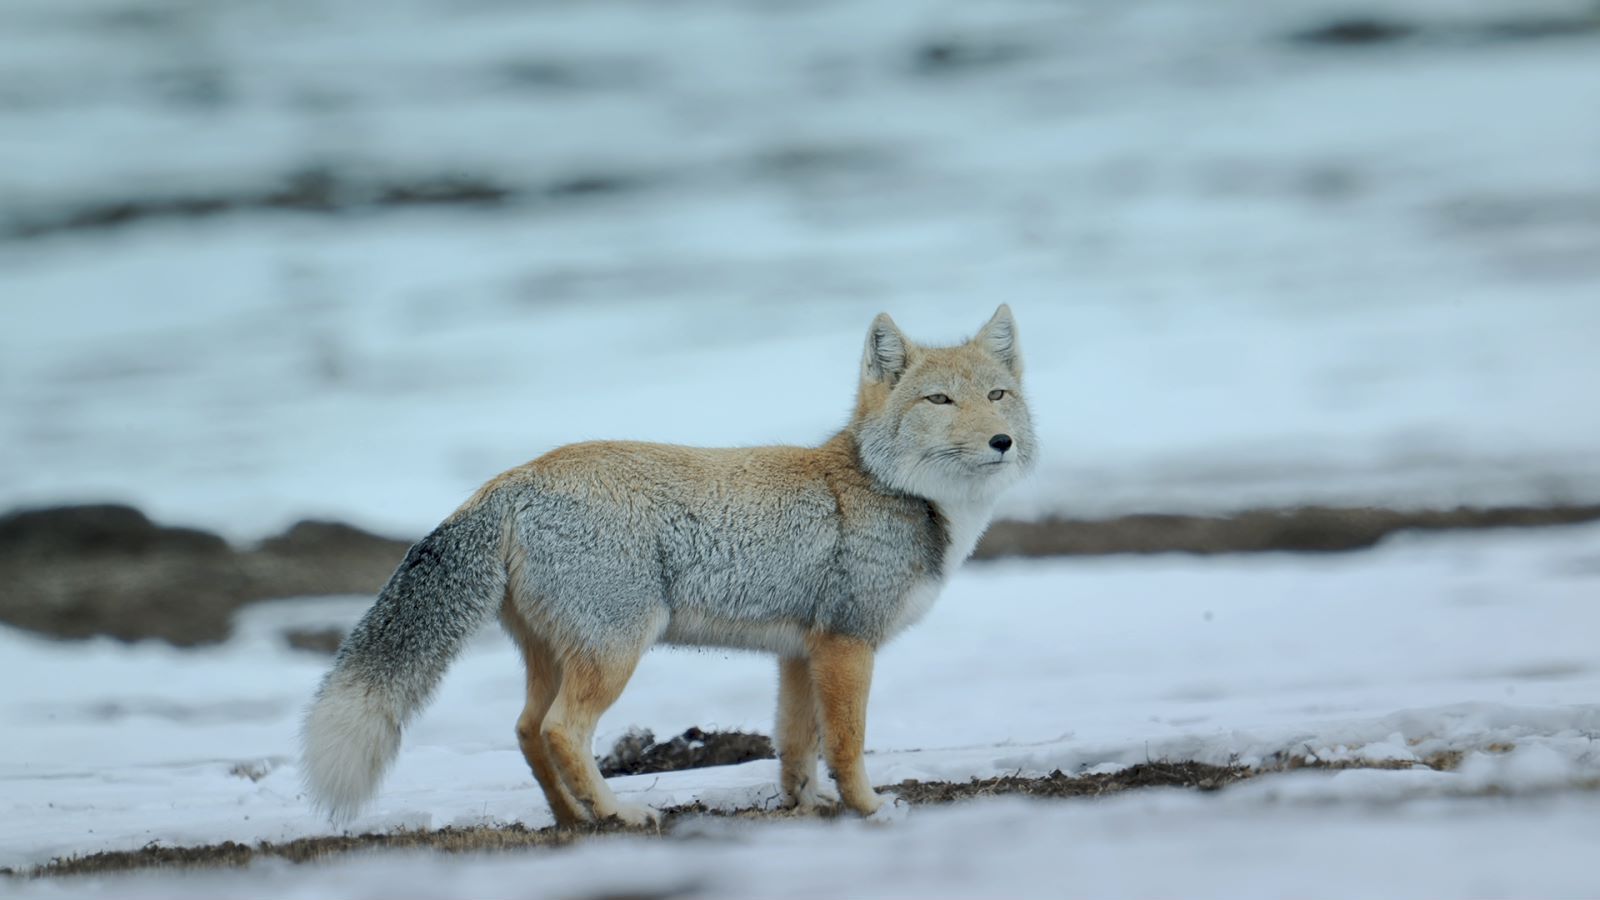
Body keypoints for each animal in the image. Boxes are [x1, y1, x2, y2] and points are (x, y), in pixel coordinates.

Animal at [301, 305, 1036, 827]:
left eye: (998, 395)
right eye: (940, 401)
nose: (1002, 441)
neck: (897, 492)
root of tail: (513, 479)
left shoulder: (801, 654)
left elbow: (796, 748)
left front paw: (807, 807)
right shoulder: (847, 644)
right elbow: (847, 746)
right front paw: (870, 809)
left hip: (556, 656)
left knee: (527, 731)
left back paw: (573, 818)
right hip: (615, 651)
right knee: (561, 731)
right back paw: (618, 811)